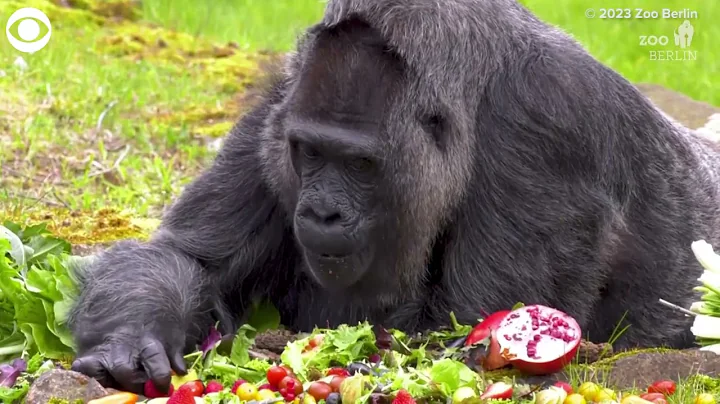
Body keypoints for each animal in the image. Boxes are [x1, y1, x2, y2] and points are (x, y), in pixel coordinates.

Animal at [66, 0, 720, 394]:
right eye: (310, 153)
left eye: (360, 164)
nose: (321, 211)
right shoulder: (280, 100)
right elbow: (187, 259)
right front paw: (133, 338)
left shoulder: (548, 123)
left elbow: (457, 334)